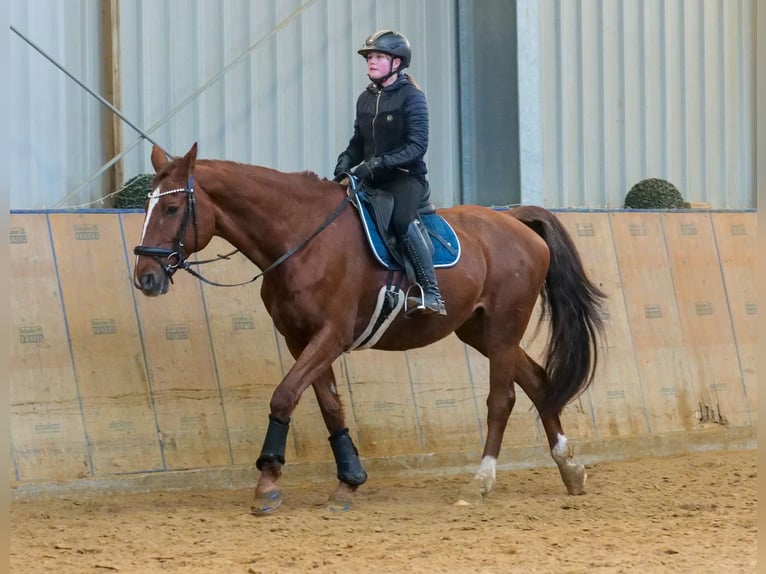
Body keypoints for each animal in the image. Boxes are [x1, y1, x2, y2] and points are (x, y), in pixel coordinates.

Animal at [135, 143, 608, 512]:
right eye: (146, 206)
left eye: (172, 208)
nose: (145, 277)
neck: (301, 238)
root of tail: (514, 219)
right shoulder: (300, 339)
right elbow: (329, 406)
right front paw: (349, 481)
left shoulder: (331, 334)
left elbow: (285, 395)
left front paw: (268, 482)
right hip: (479, 332)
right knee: (538, 382)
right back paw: (571, 470)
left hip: (503, 328)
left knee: (502, 399)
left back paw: (481, 482)